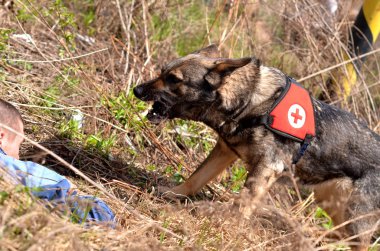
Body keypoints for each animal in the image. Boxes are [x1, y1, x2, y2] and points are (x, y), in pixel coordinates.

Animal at [133, 45, 378, 251]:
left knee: (359, 243)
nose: (136, 90)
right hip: (333, 203)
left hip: (354, 214)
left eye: (174, 79)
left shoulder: (267, 166)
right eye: (162, 72)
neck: (250, 101)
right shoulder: (224, 152)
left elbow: (243, 203)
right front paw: (174, 193)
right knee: (343, 236)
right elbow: (195, 178)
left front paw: (229, 227)